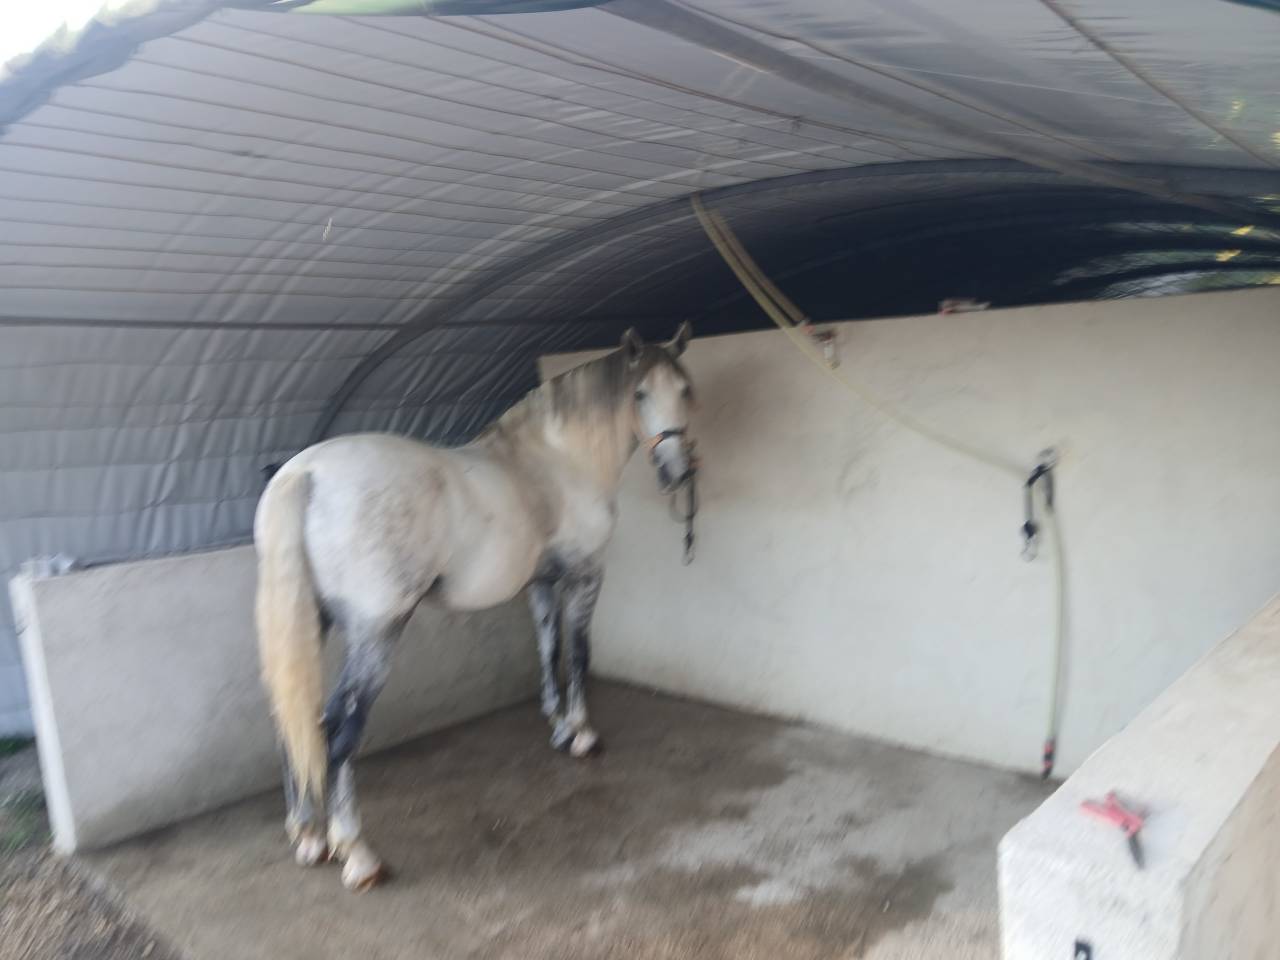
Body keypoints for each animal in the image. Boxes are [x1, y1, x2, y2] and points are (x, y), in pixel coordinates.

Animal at [254, 323, 695, 891]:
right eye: (639, 394)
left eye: (684, 389)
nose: (678, 474)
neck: (560, 461)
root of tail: (305, 473)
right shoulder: (585, 575)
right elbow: (578, 653)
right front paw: (583, 734)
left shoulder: (541, 583)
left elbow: (548, 649)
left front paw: (559, 727)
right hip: (377, 632)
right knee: (337, 727)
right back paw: (356, 852)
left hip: (311, 625)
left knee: (292, 717)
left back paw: (307, 833)